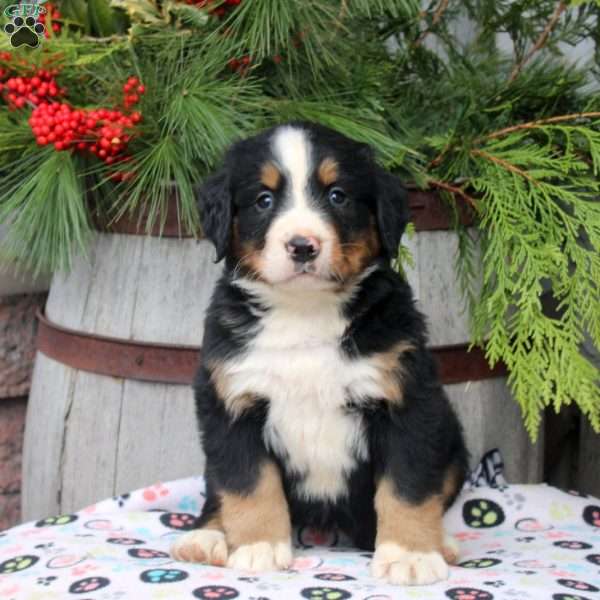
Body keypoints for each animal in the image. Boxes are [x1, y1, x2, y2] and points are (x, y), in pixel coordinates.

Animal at [170, 122, 468, 584]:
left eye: (337, 195)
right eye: (264, 199)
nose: (302, 245)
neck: (305, 313)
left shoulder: (407, 400)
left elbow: (408, 486)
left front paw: (411, 554)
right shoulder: (231, 400)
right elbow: (248, 482)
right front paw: (257, 546)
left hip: (452, 439)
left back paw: (444, 543)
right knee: (218, 490)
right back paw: (206, 537)